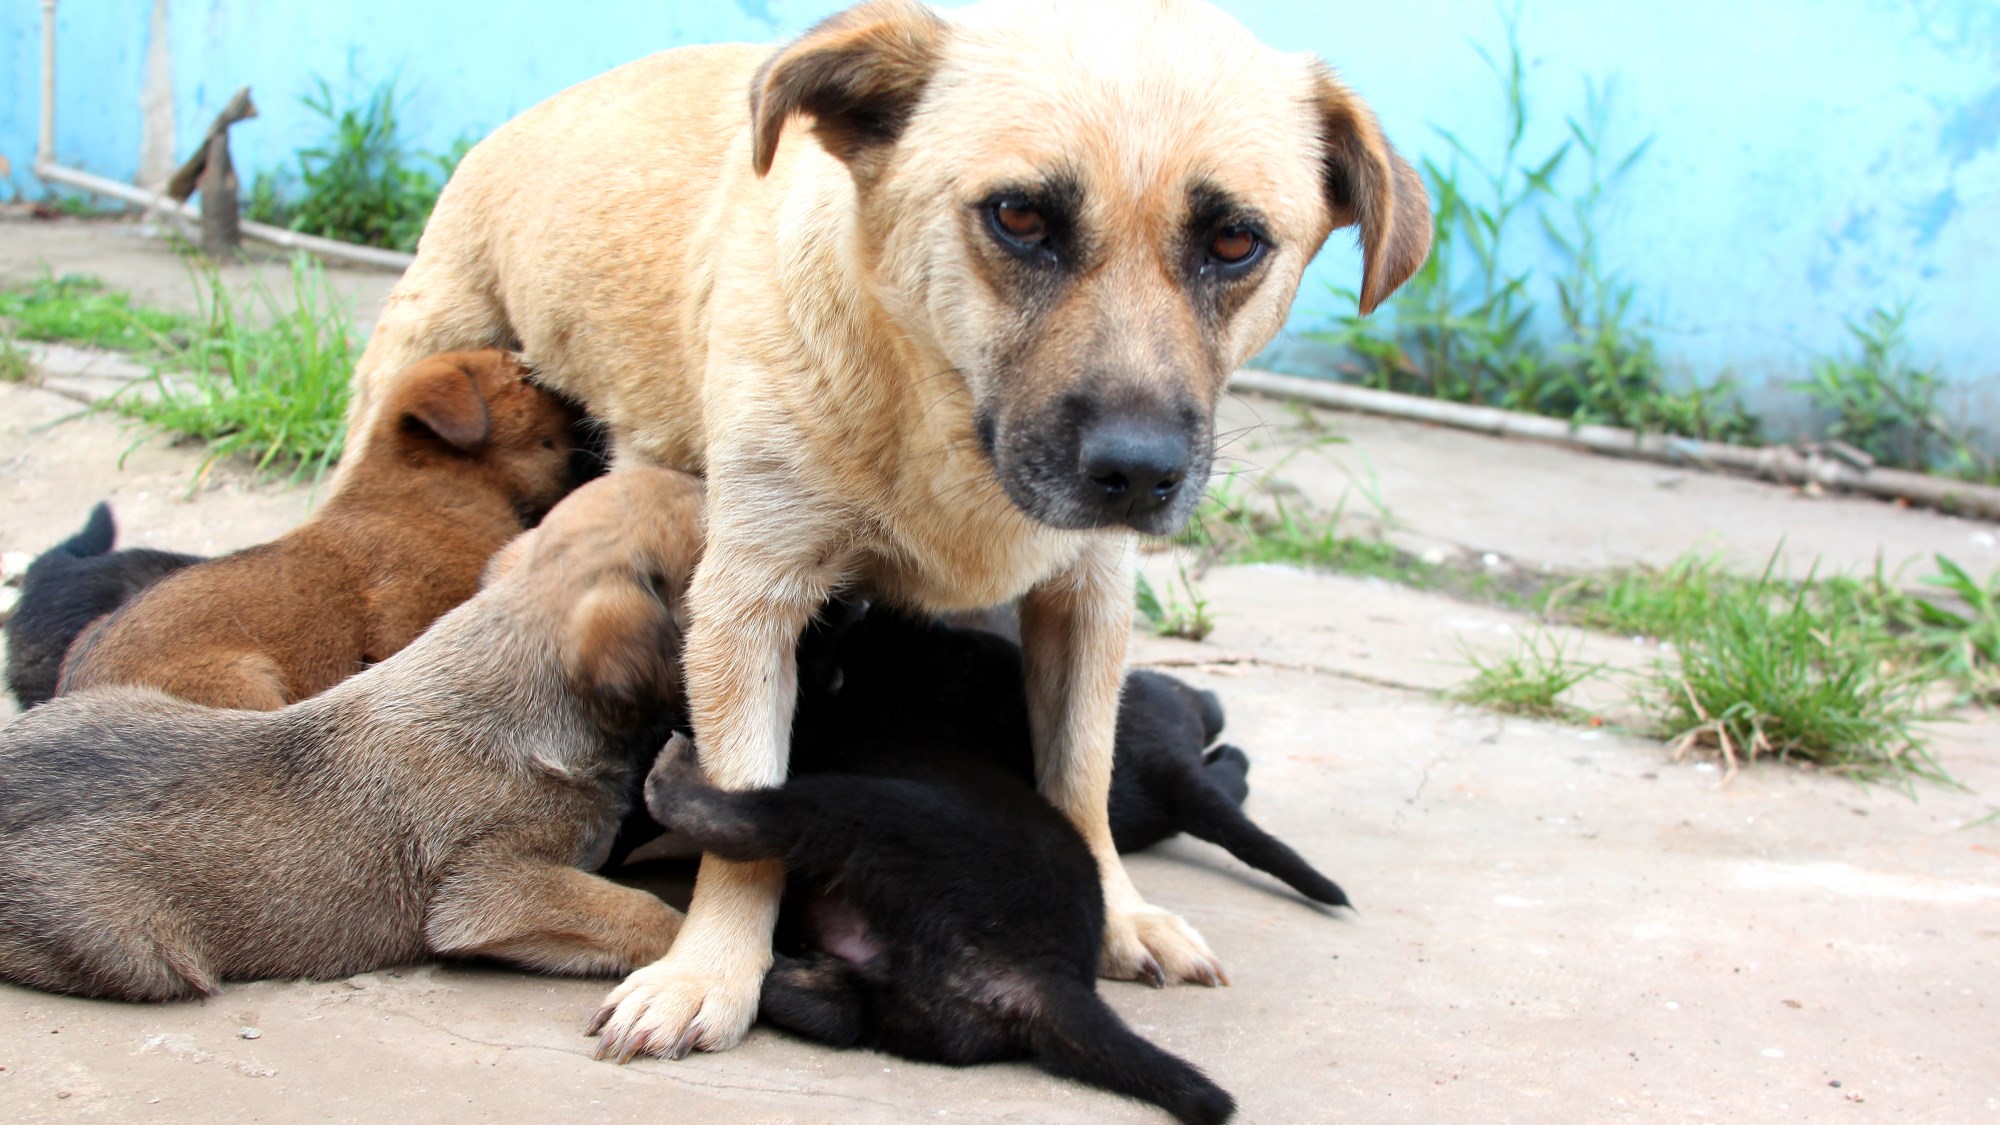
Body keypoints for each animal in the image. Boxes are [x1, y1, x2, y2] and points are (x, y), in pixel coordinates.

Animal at [344, 0, 1432, 1056]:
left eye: (1235, 242)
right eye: (1019, 216)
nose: (1136, 473)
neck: (939, 416)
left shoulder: (1086, 597)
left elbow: (1078, 777)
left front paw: (1117, 912)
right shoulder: (748, 605)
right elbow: (747, 812)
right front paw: (713, 971)